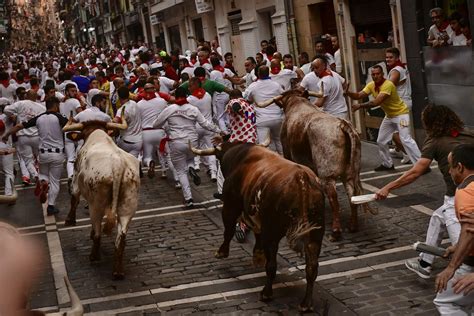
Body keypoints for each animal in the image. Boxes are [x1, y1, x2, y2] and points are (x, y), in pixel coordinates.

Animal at [62, 118, 139, 278]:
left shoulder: (76, 181)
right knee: (121, 237)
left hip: (96, 204)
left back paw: (94, 256)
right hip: (128, 205)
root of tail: (118, 165)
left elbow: (74, 199)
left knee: (98, 230)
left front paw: (69, 220)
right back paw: (118, 271)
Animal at [191, 139, 324, 312]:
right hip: (316, 234)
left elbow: (229, 230)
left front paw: (222, 252)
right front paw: (258, 256)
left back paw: (266, 293)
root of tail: (301, 177)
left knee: (272, 265)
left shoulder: (231, 206)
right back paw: (306, 303)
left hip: (273, 231)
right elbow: (256, 234)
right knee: (312, 267)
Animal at [258, 87, 376, 241]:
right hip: (350, 173)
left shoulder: (290, 155)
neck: (296, 102)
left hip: (327, 175)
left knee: (334, 198)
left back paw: (336, 231)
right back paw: (352, 226)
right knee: (352, 195)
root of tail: (341, 124)